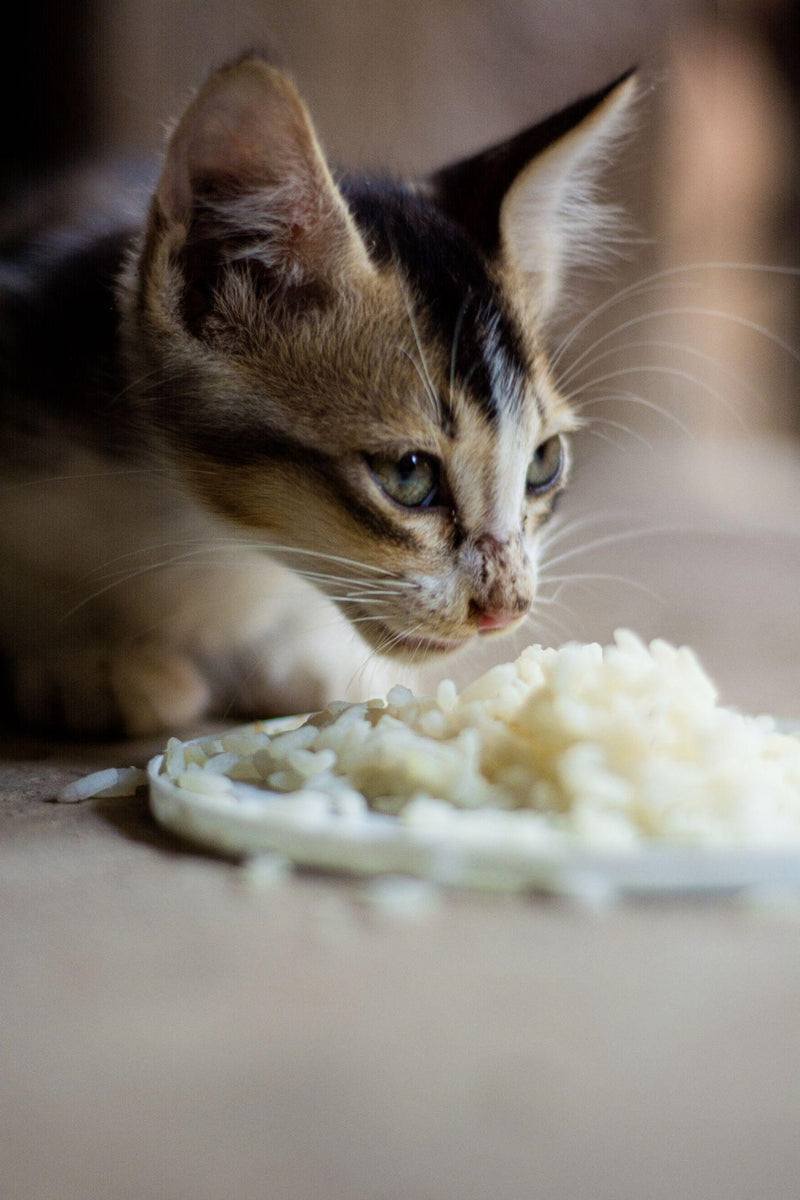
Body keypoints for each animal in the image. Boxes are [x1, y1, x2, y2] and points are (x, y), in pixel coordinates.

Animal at [0, 56, 638, 734]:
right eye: (408, 473)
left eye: (544, 463)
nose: (507, 609)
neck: (209, 537)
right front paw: (89, 658)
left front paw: (309, 653)